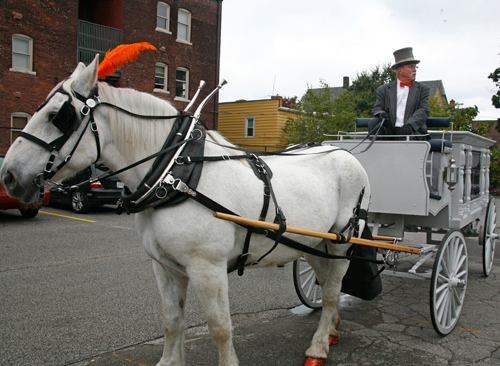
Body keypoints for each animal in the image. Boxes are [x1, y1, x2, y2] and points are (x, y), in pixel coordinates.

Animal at [0, 55, 372, 366]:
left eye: (57, 117)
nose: (8, 175)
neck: (176, 175)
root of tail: (343, 152)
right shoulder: (165, 266)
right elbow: (172, 321)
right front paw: (169, 361)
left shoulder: (208, 268)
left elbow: (220, 327)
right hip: (312, 243)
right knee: (325, 283)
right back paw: (332, 328)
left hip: (342, 241)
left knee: (333, 287)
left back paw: (318, 346)